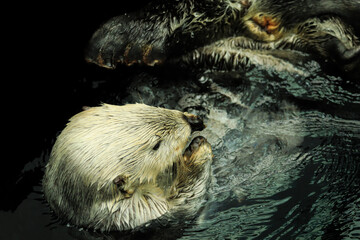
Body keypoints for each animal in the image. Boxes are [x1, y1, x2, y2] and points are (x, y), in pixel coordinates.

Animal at [42, 103, 212, 231]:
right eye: (156, 145)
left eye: (144, 107)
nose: (189, 121)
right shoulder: (141, 214)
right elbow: (185, 204)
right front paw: (197, 149)